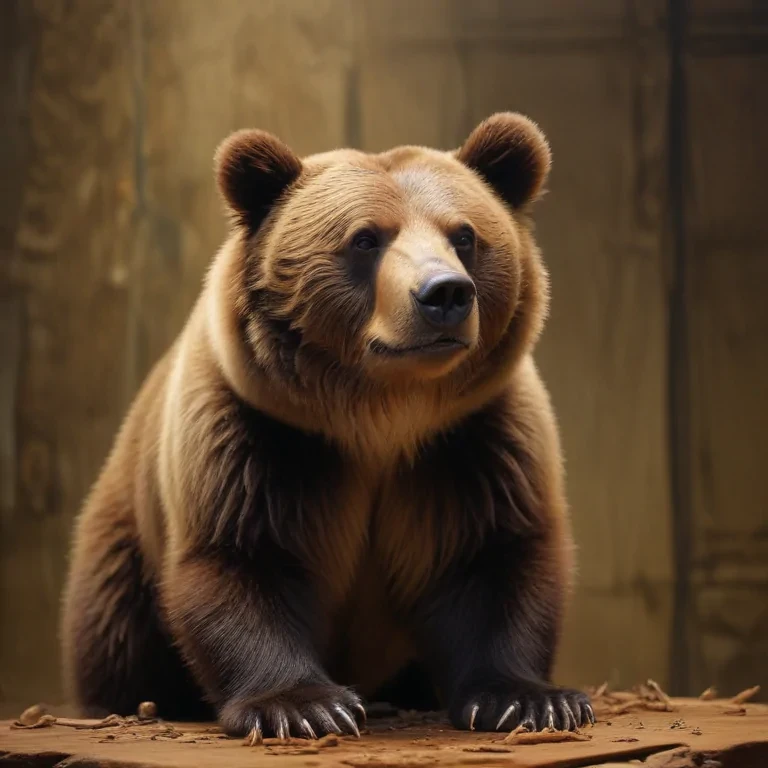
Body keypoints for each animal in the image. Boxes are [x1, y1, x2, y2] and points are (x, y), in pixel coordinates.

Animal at [60, 112, 594, 740]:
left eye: (464, 235)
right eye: (365, 239)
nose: (445, 293)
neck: (384, 415)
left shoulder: (473, 438)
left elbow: (493, 554)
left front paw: (531, 700)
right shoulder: (260, 433)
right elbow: (243, 556)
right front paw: (303, 705)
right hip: (122, 543)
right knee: (114, 630)